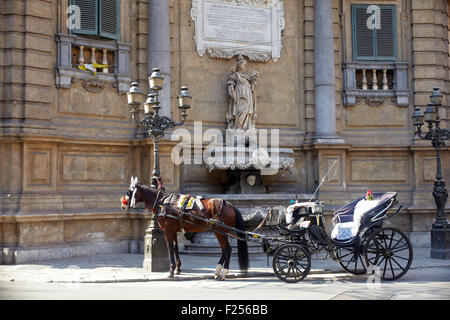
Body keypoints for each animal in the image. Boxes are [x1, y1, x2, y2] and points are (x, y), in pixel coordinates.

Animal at [120, 178, 250, 280]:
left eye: (129, 191)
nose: (122, 205)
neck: (163, 203)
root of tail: (230, 204)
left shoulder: (167, 231)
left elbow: (170, 248)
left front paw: (171, 271)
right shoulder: (174, 232)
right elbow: (176, 247)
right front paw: (177, 269)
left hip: (221, 231)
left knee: (227, 250)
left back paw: (223, 273)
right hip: (219, 231)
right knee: (224, 250)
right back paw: (217, 271)